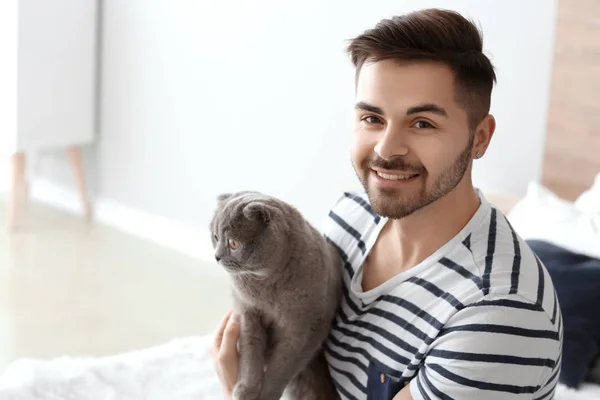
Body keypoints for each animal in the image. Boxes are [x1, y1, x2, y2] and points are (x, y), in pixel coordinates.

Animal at [211, 191, 342, 400]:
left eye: (233, 243)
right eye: (215, 237)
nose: (217, 256)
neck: (267, 284)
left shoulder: (306, 330)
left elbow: (282, 367)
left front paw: (266, 395)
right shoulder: (247, 312)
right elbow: (250, 354)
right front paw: (246, 390)